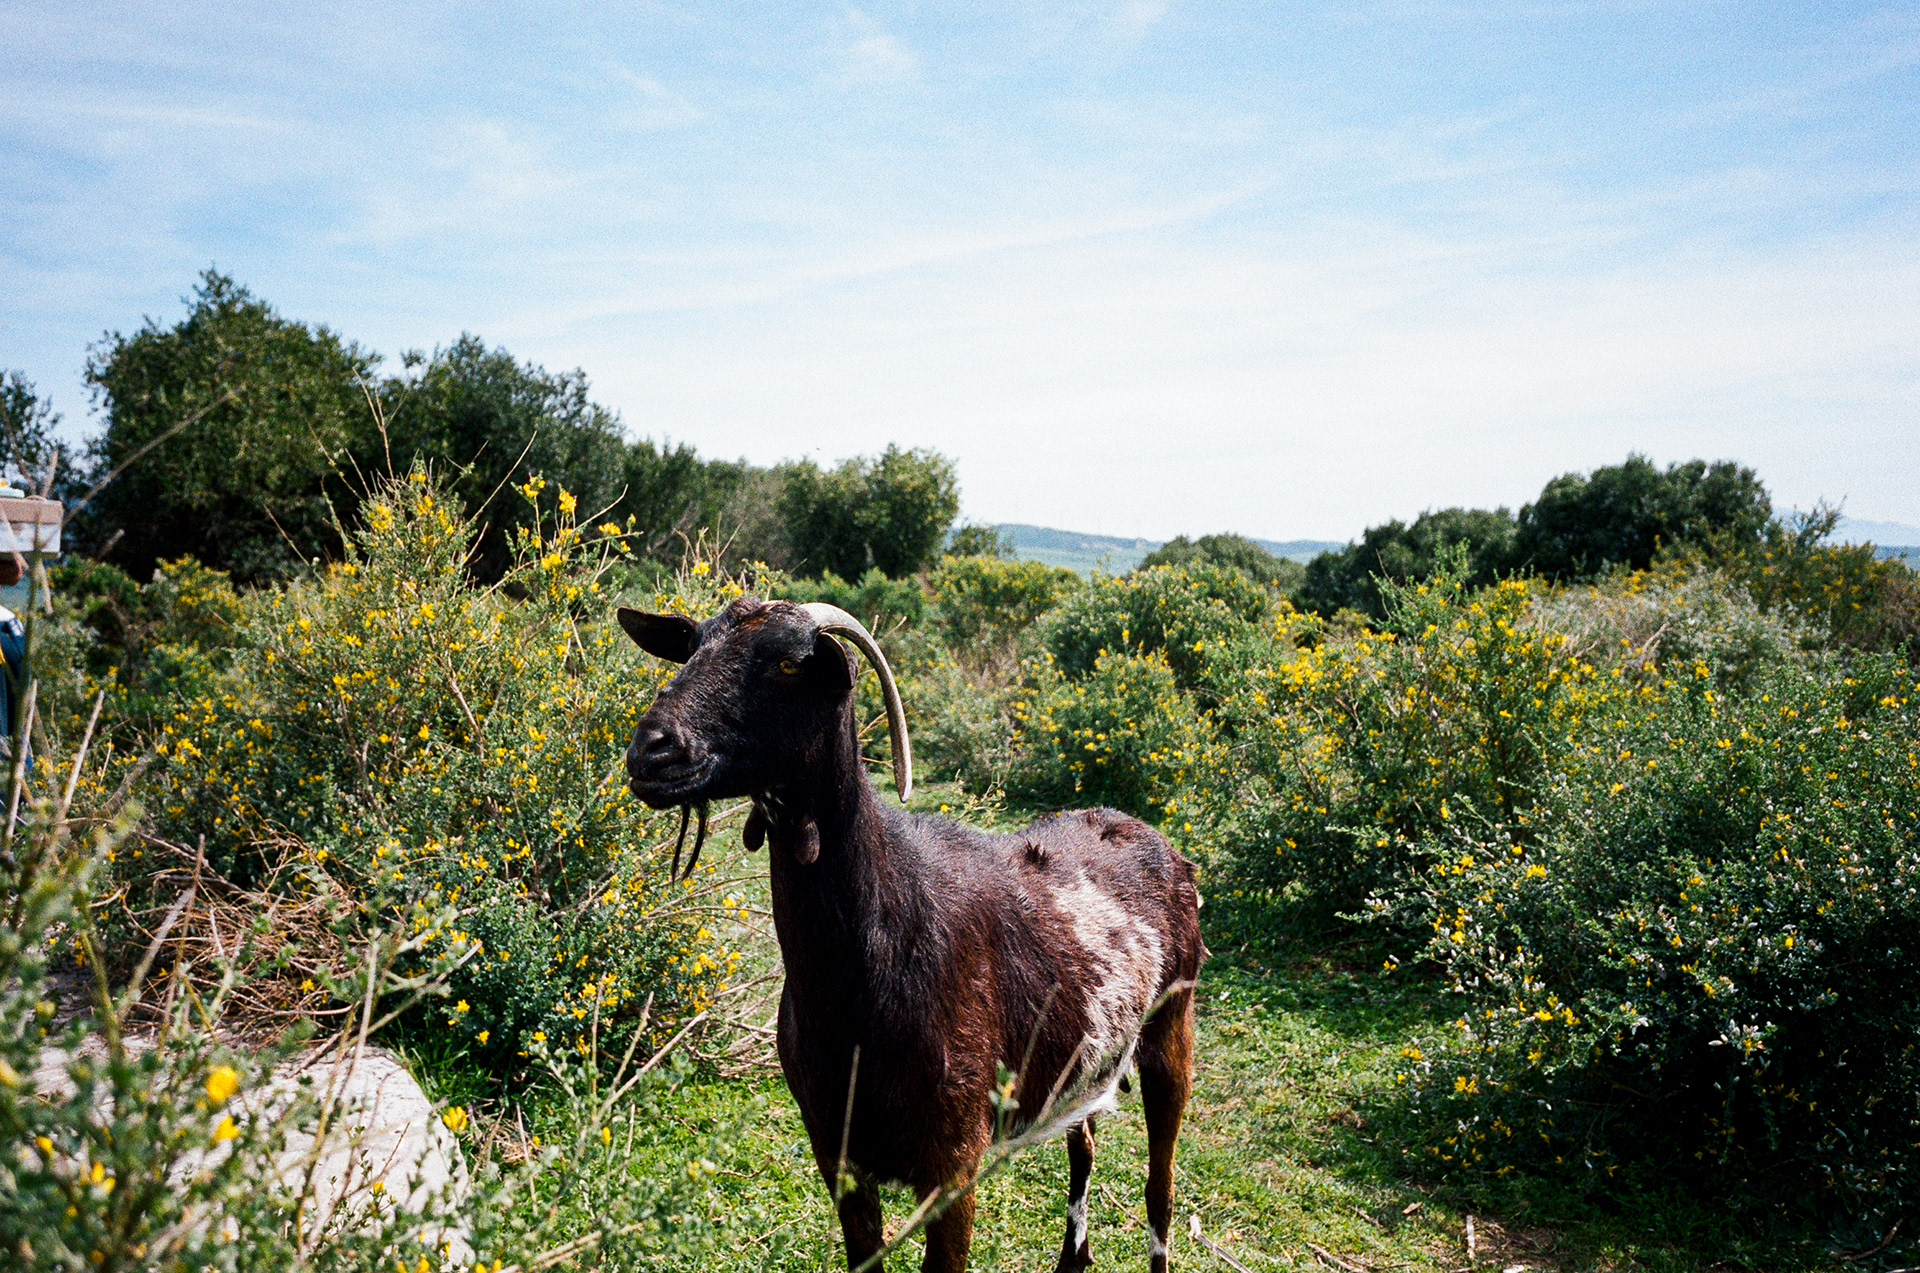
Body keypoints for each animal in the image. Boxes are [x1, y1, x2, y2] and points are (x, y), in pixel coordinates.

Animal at [619, 597, 1206, 1273]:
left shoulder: (954, 1159)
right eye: (692, 645)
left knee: (1160, 1187)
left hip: (1172, 1029)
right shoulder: (836, 1148)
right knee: (1082, 1142)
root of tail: (1152, 837)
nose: (651, 750)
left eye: (789, 664)